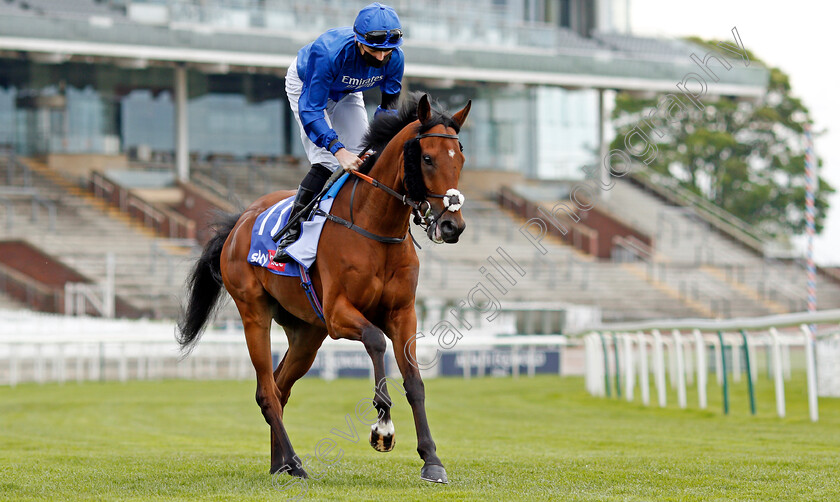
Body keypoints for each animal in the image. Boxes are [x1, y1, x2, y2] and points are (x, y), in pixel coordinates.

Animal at [176, 93, 470, 482]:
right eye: (427, 158)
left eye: (460, 159)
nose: (453, 225)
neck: (374, 226)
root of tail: (240, 221)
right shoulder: (337, 312)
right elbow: (376, 340)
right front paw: (382, 427)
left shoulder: (403, 313)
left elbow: (415, 382)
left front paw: (432, 460)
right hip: (255, 313)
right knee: (266, 391)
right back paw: (295, 462)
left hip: (306, 333)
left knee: (280, 387)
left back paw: (281, 463)